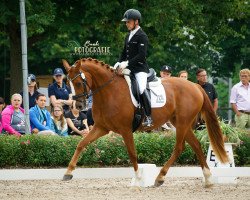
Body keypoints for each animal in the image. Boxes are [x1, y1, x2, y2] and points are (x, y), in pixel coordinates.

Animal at [62, 57, 229, 188]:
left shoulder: (125, 129)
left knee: (179, 147)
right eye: (67, 84)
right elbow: (81, 144)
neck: (108, 91)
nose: (78, 106)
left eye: (78, 83)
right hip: (181, 123)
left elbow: (132, 152)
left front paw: (138, 178)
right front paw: (68, 172)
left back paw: (160, 177)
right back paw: (208, 179)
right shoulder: (101, 127)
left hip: (182, 123)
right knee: (195, 145)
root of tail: (195, 85)